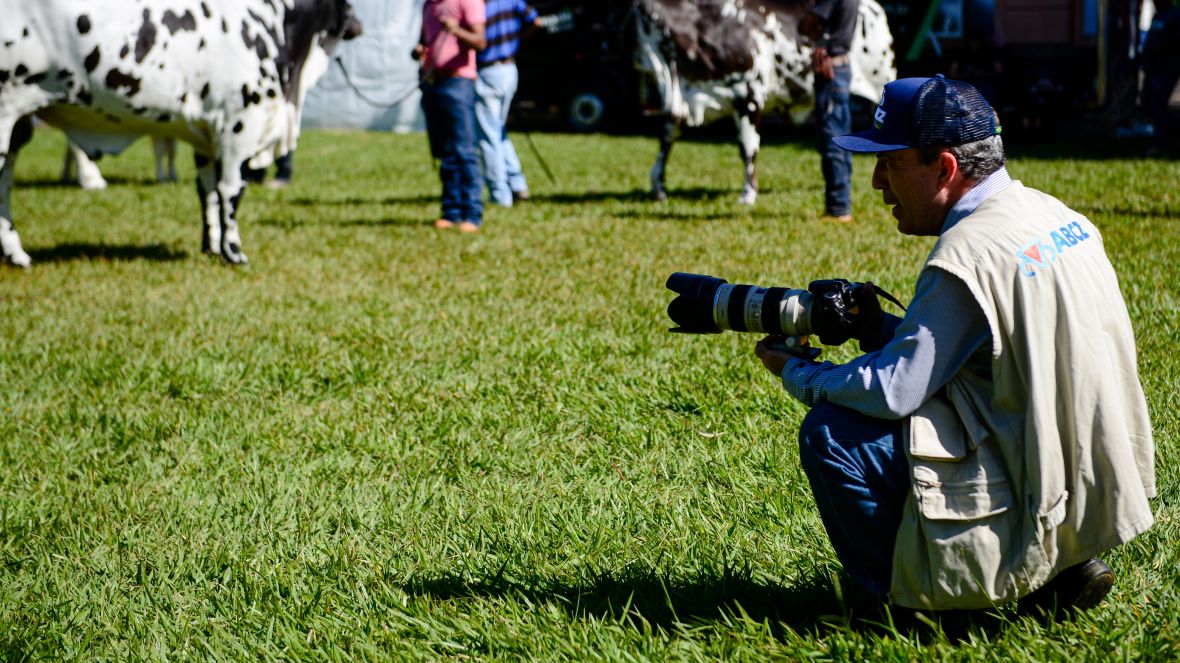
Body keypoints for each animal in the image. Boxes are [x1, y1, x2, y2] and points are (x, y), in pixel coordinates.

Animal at [0, 0, 358, 265]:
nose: (359, 24)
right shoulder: (238, 126)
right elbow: (231, 192)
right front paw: (234, 252)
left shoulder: (208, 134)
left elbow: (208, 192)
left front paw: (211, 246)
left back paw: (15, 254)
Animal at [637, 0, 892, 204]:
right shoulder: (686, 100)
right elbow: (667, 138)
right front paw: (658, 186)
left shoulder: (750, 95)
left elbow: (748, 147)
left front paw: (748, 194)